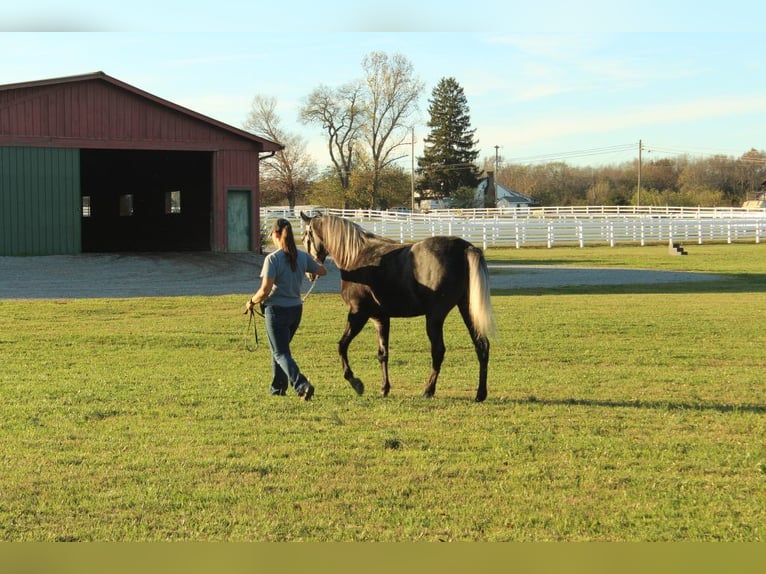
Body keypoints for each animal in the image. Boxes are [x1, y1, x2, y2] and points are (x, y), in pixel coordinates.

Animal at [300, 213, 498, 404]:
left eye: (305, 238)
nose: (309, 274)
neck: (357, 256)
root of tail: (465, 248)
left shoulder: (358, 313)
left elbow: (342, 346)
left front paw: (355, 382)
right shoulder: (380, 317)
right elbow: (383, 353)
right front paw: (384, 388)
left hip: (434, 317)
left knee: (438, 351)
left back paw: (428, 390)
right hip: (467, 310)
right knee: (481, 346)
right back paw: (480, 394)